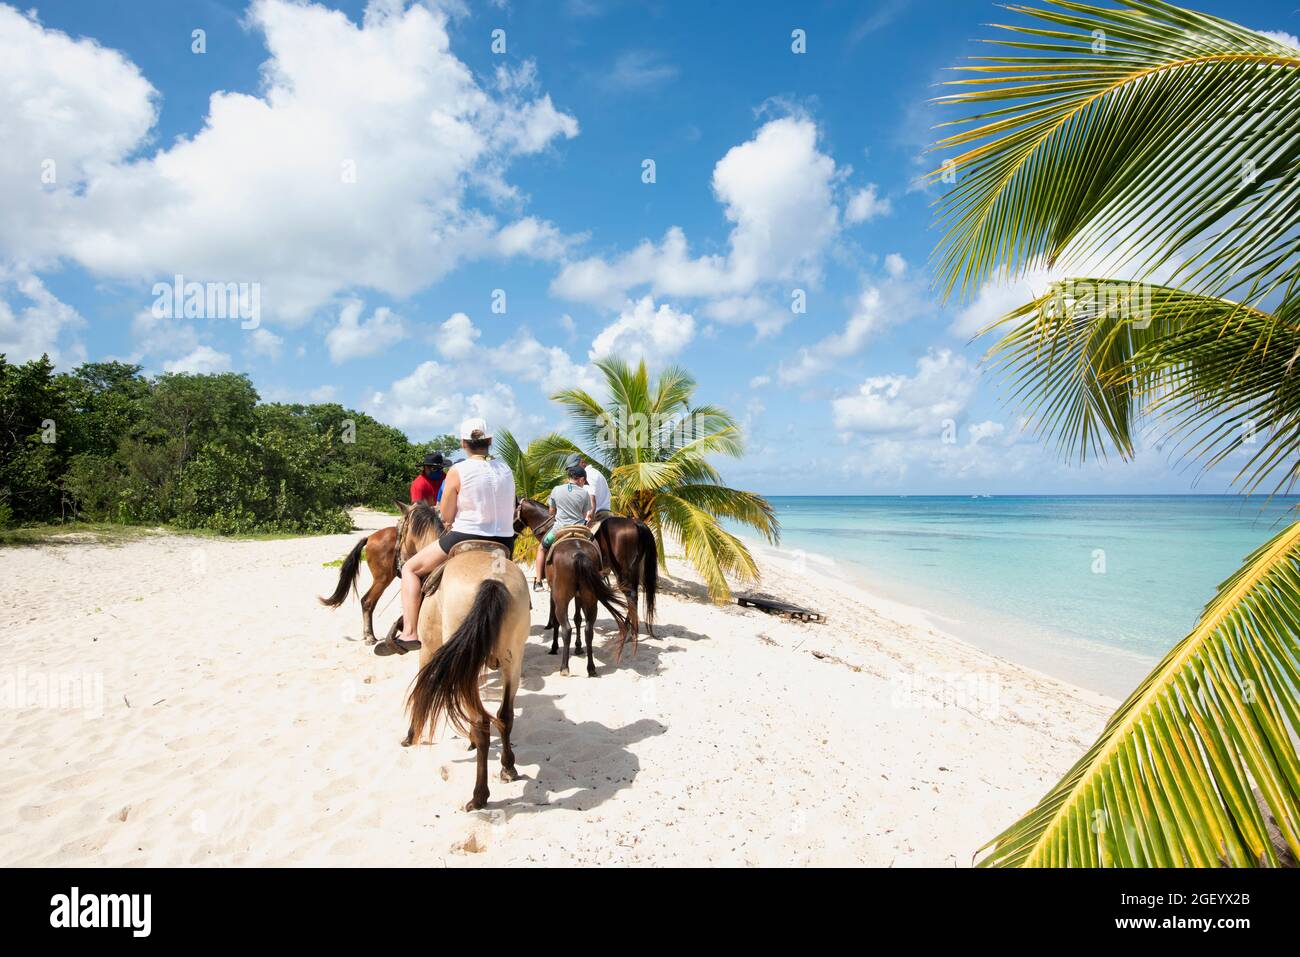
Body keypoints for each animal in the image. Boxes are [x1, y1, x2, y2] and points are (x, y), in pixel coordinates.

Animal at [403, 538, 530, 806]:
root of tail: (493, 580)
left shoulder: (427, 650)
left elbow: (420, 692)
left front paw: (411, 734)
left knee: (482, 722)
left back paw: (479, 796)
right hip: (513, 658)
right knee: (504, 715)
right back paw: (508, 767)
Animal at [520, 496, 637, 676]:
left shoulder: (555, 592)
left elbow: (558, 620)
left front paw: (554, 645)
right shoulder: (579, 594)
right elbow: (577, 618)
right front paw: (578, 647)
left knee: (566, 628)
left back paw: (565, 667)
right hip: (594, 595)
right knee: (590, 628)